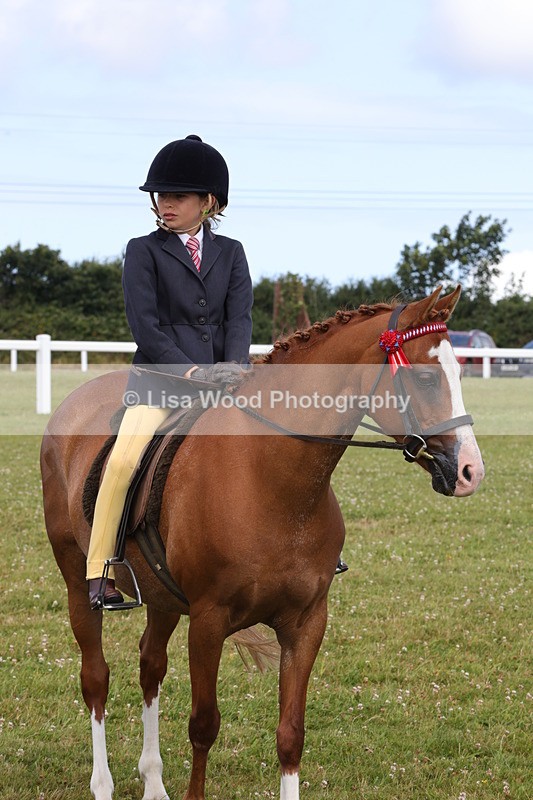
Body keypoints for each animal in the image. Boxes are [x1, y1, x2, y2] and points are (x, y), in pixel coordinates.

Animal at [40, 286, 484, 800]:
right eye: (428, 377)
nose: (471, 471)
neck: (271, 479)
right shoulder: (208, 622)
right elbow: (203, 726)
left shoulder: (306, 623)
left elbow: (291, 734)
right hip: (78, 583)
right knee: (96, 678)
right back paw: (103, 783)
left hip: (162, 597)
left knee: (150, 666)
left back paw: (153, 781)